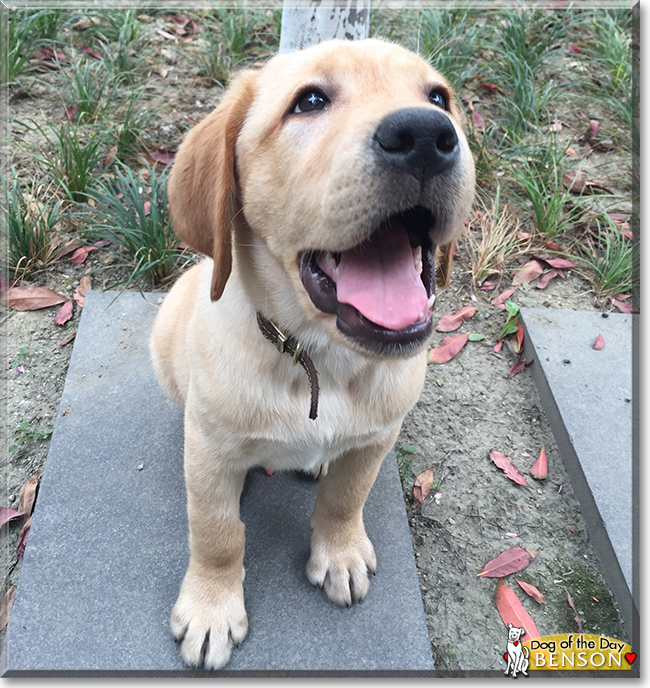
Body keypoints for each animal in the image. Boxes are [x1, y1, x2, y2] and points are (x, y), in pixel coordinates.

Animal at [150, 37, 474, 668]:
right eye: (310, 101)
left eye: (438, 98)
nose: (427, 135)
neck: (322, 359)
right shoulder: (210, 457)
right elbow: (217, 533)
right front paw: (211, 608)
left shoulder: (378, 437)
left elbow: (345, 498)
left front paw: (340, 553)